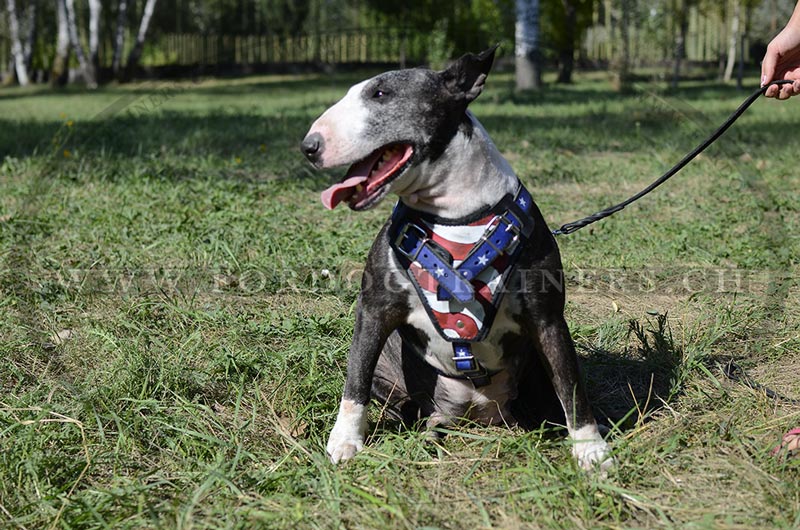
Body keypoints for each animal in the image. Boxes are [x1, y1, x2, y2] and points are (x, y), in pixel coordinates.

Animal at [300, 44, 612, 466]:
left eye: (381, 94)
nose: (309, 147)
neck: (453, 213)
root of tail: (473, 412)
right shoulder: (374, 308)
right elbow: (356, 377)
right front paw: (345, 440)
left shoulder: (547, 320)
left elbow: (572, 386)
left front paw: (591, 449)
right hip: (394, 377)